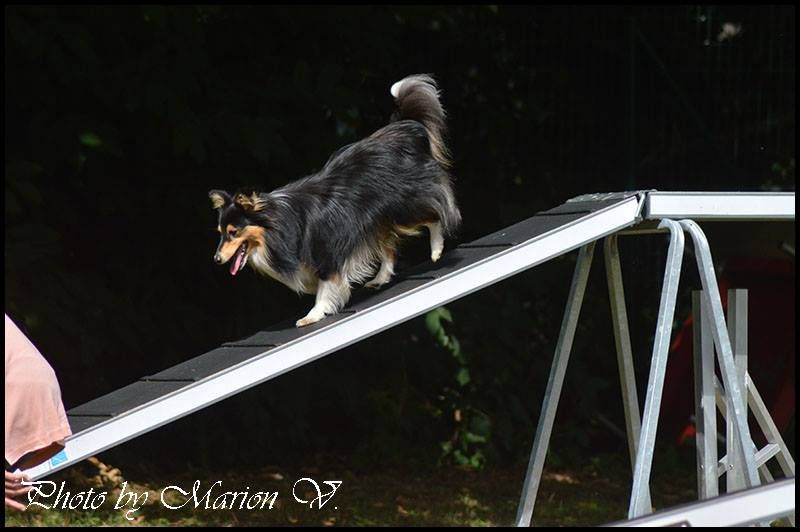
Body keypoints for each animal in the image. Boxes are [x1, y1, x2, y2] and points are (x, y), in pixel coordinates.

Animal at [209, 72, 462, 326]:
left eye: (233, 232)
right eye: (221, 233)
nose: (217, 259)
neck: (275, 224)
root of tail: (403, 129)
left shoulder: (325, 251)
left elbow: (325, 287)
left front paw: (312, 315)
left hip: (402, 207)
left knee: (435, 212)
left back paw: (436, 249)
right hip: (377, 219)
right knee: (388, 249)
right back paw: (380, 279)